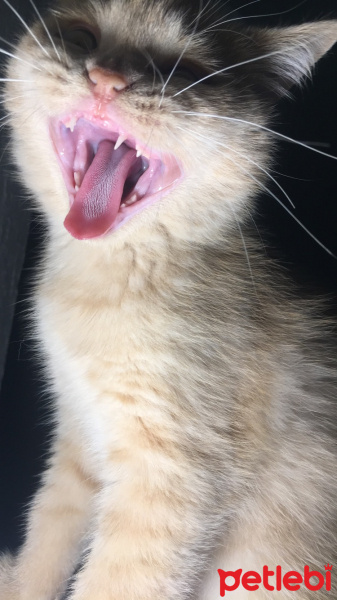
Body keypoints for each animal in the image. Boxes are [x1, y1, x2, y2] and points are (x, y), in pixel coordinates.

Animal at [0, 0, 336, 596]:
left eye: (186, 70)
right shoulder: (76, 443)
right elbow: (46, 540)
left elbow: (112, 582)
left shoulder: (166, 488)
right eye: (81, 35)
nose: (105, 80)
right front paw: (19, 581)